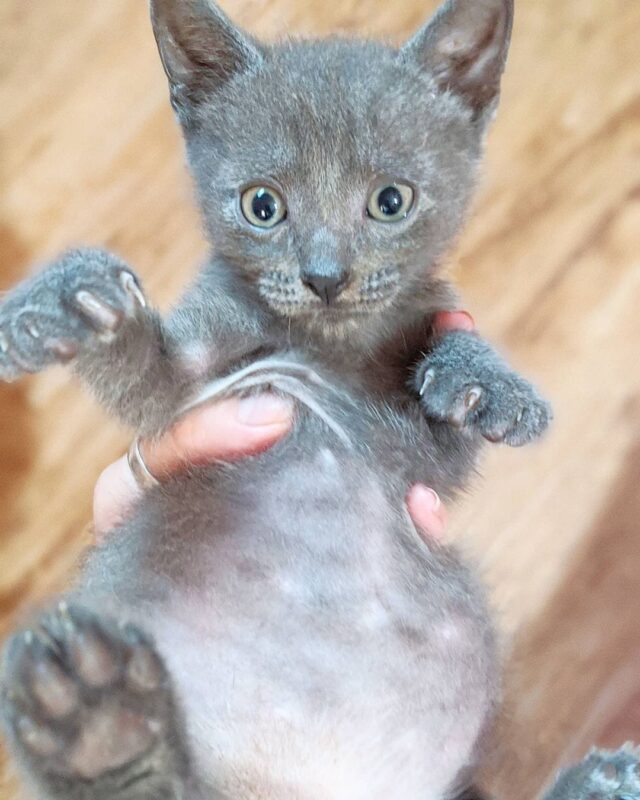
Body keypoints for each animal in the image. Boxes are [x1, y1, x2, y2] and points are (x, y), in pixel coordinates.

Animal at [0, 0, 632, 796]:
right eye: (262, 206)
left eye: (391, 201)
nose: (325, 276)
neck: (333, 345)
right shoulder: (200, 389)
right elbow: (149, 381)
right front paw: (72, 303)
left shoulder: (426, 457)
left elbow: (450, 409)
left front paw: (487, 383)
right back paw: (98, 724)